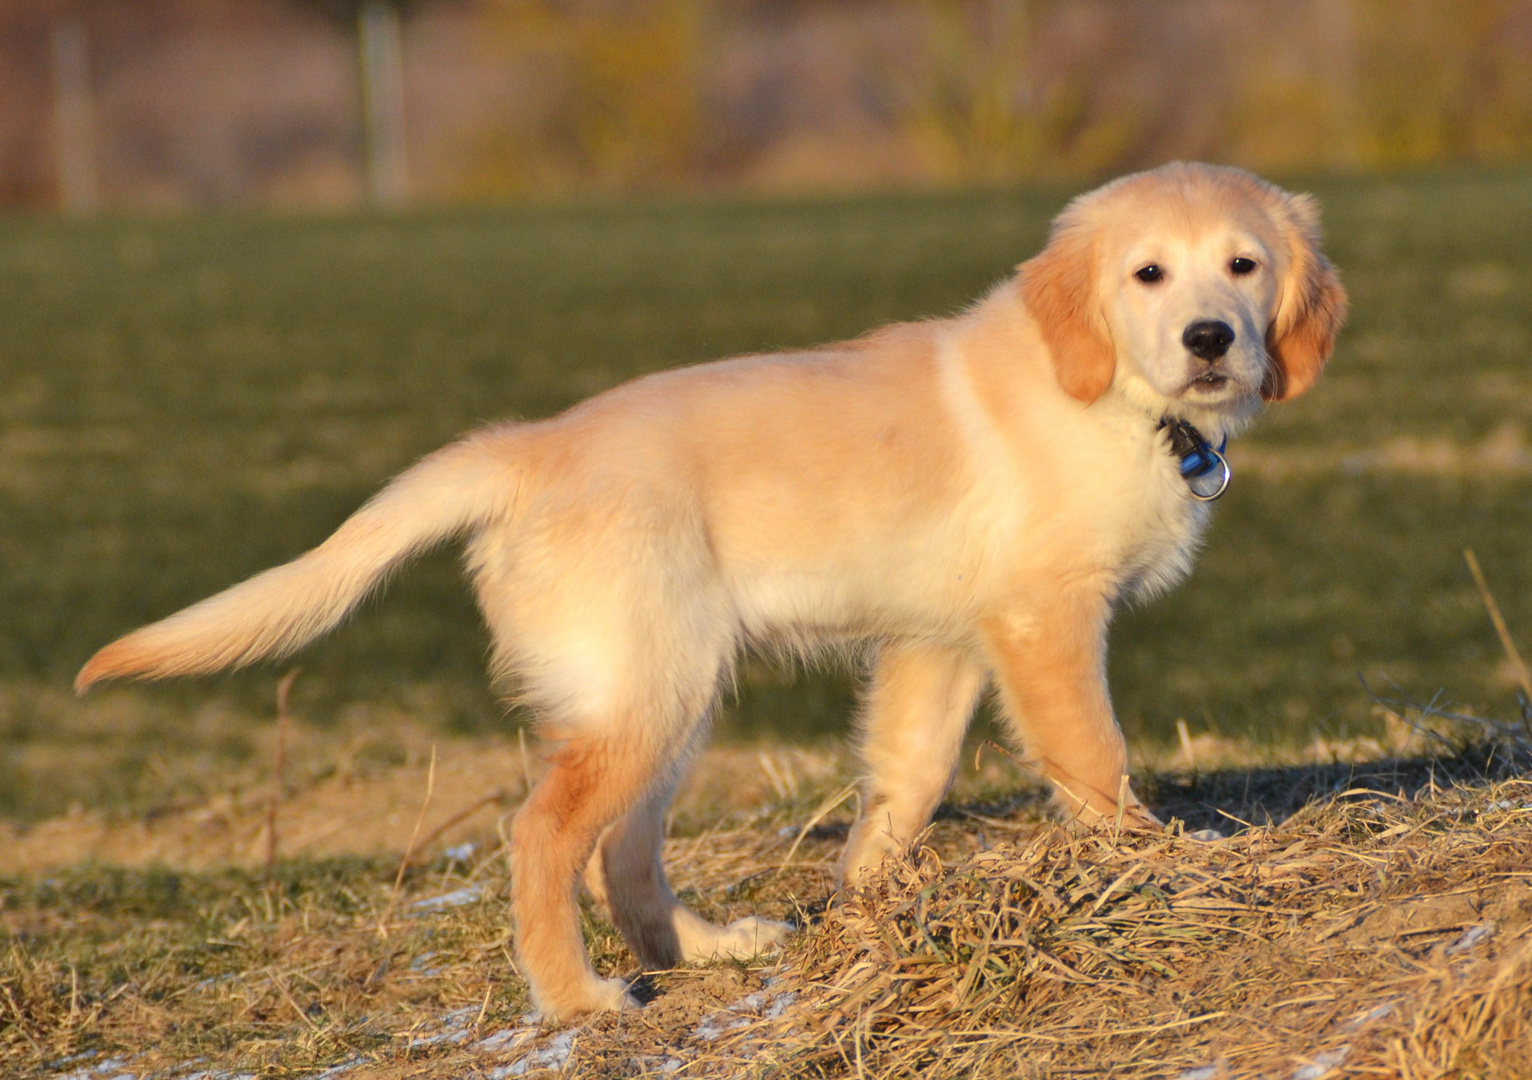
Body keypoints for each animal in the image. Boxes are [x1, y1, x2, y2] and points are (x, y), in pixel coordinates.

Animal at [74, 162, 1342, 1017]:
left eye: (1242, 266)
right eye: (1146, 274)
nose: (1209, 337)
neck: (1112, 394)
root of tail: (529, 446)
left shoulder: (938, 640)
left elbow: (905, 780)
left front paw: (864, 910)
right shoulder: (1044, 617)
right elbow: (1090, 755)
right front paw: (1155, 865)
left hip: (665, 692)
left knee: (622, 853)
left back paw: (703, 952)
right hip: (645, 686)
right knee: (544, 836)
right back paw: (575, 999)